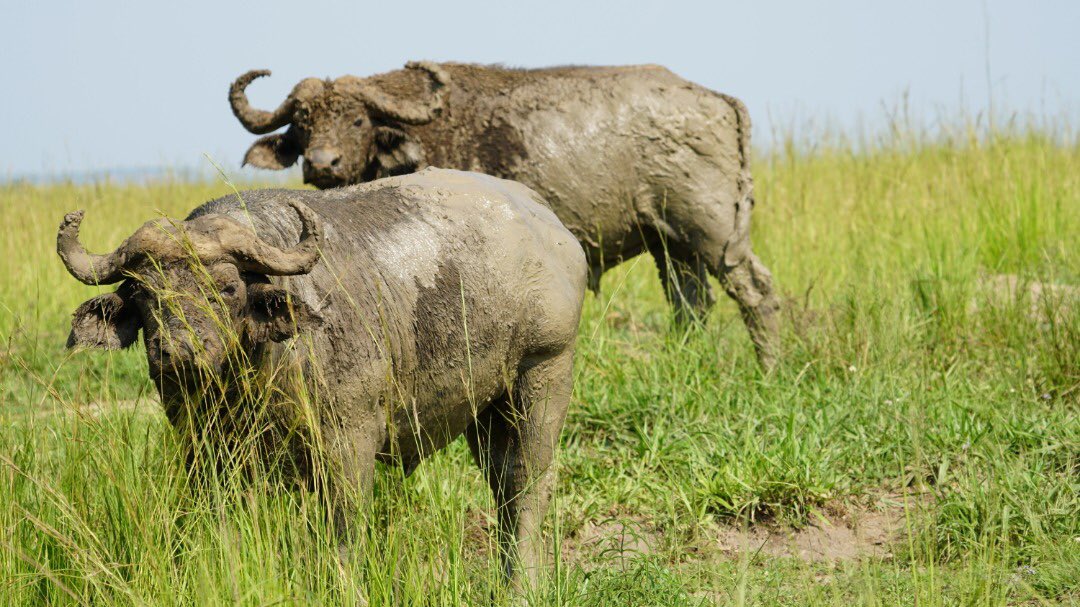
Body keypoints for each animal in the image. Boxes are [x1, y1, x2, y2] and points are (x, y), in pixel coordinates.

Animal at [58, 166, 587, 591]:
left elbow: (342, 532)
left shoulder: (349, 445)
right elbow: (220, 523)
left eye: (226, 288)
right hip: (485, 409)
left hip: (544, 373)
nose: (178, 351)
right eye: (144, 294)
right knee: (500, 485)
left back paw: (522, 585)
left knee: (525, 483)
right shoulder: (205, 450)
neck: (257, 375)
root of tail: (550, 225)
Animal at [232, 61, 781, 367]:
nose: (322, 163)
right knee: (691, 303)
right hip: (672, 245)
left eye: (357, 120)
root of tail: (715, 100)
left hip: (714, 234)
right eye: (303, 123)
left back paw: (768, 368)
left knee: (756, 291)